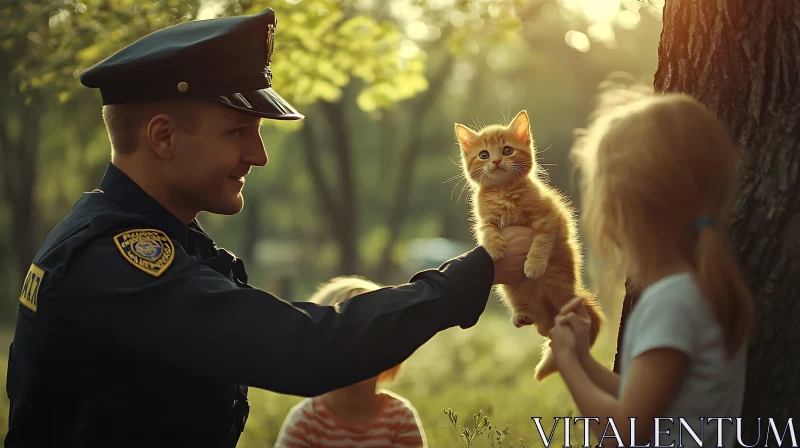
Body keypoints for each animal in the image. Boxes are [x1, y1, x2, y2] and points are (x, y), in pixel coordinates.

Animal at [454, 110, 604, 380]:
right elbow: (488, 231)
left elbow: (541, 241)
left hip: (560, 285)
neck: (503, 192)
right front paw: (495, 248)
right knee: (543, 326)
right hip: (513, 293)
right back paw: (523, 316)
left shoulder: (548, 218)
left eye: (507, 150)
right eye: (484, 155)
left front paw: (533, 264)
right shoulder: (484, 221)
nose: (496, 161)